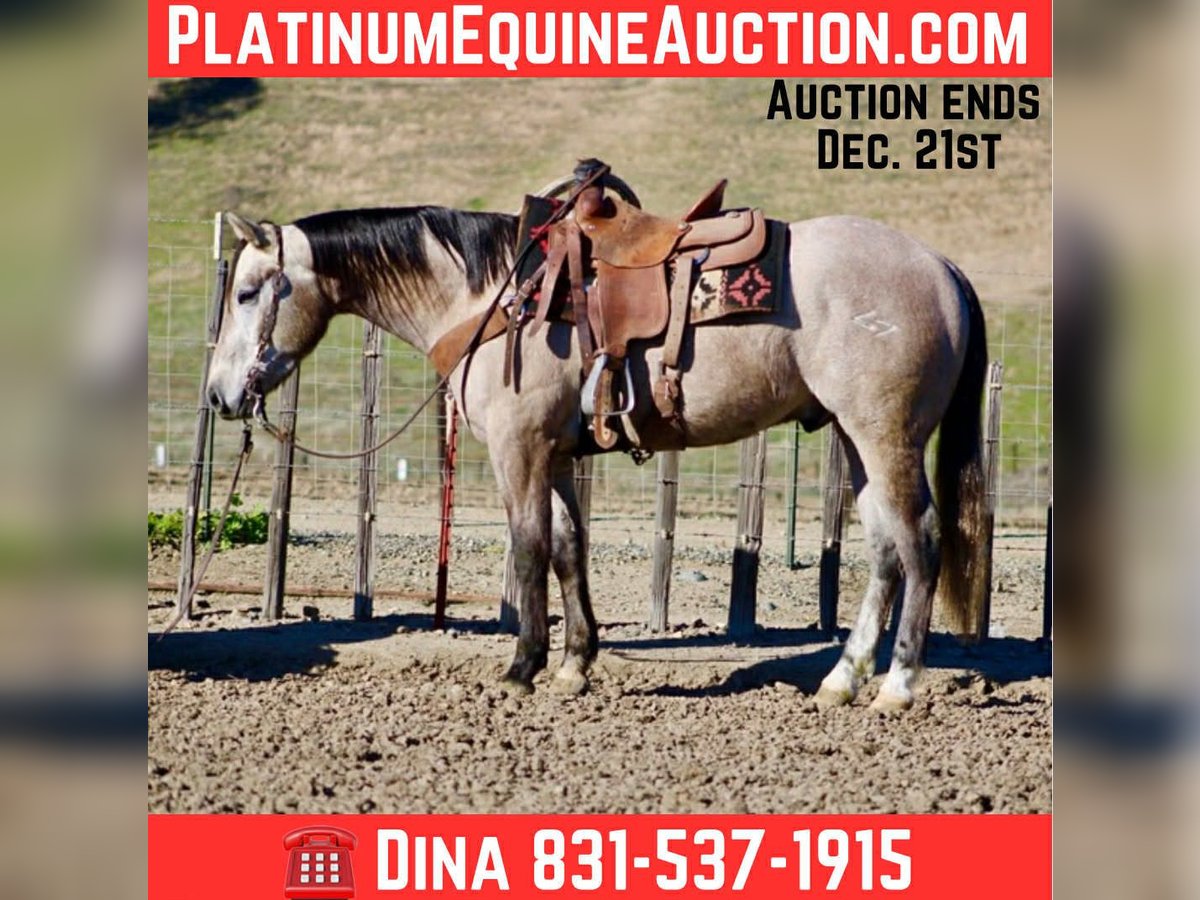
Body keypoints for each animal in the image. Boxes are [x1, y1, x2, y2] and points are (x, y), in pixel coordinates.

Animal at [205, 193, 987, 712]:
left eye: (246, 292)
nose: (218, 394)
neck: (495, 299)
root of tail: (943, 267)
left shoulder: (519, 449)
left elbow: (526, 548)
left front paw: (522, 667)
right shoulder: (554, 454)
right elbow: (567, 546)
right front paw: (574, 665)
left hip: (886, 436)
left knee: (920, 541)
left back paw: (898, 686)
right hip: (857, 441)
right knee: (885, 550)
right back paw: (843, 678)